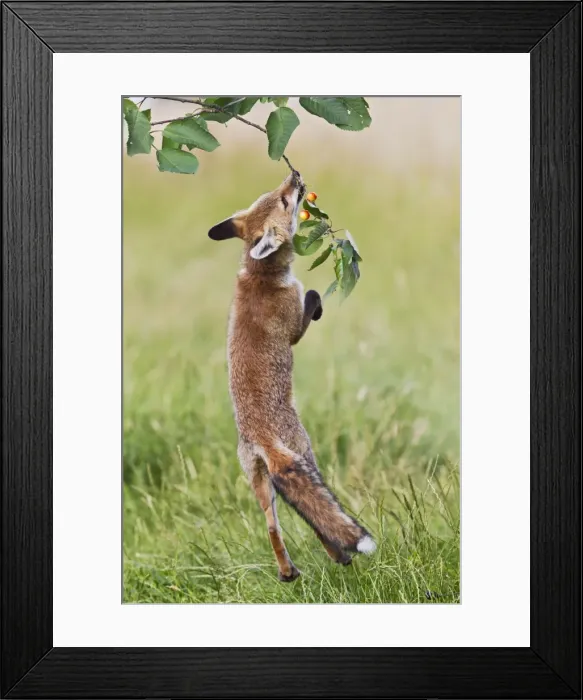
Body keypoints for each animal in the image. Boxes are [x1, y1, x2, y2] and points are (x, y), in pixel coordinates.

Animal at [208, 171, 375, 581]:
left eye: (272, 193)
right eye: (285, 201)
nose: (295, 175)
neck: (261, 275)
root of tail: (263, 437)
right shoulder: (295, 330)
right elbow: (311, 298)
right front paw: (317, 302)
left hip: (259, 485)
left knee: (273, 527)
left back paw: (289, 572)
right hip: (307, 454)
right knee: (317, 522)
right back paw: (339, 556)